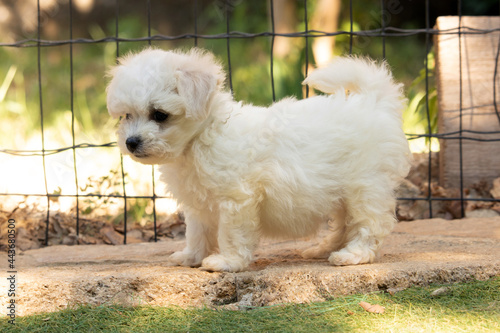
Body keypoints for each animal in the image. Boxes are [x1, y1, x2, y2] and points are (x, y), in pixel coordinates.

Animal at [105, 48, 410, 272]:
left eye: (159, 114)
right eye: (127, 116)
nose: (131, 142)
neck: (200, 138)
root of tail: (374, 102)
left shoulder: (235, 199)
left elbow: (231, 234)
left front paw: (226, 263)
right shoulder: (199, 205)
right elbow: (197, 232)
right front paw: (191, 257)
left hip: (365, 186)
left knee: (371, 223)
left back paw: (352, 254)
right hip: (341, 192)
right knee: (344, 222)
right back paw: (324, 248)